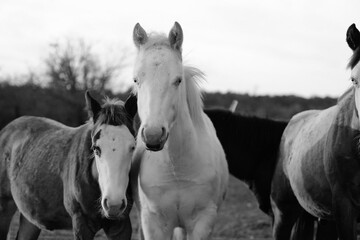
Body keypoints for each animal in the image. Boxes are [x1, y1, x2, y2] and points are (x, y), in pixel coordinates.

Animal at [0, 91, 137, 239]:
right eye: (96, 148)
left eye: (133, 147)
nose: (113, 204)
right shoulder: (81, 224)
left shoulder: (120, 226)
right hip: (4, 208)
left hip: (30, 219)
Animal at [131, 21, 229, 239]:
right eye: (136, 80)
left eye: (178, 80)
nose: (153, 136)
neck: (175, 169)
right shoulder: (153, 223)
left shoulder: (203, 221)